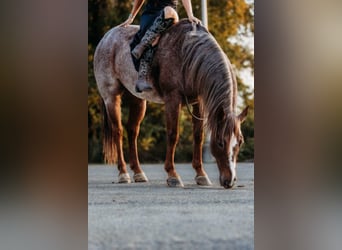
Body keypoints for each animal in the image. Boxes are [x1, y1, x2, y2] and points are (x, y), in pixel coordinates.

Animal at [93, 19, 248, 188]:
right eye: (220, 142)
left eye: (240, 142)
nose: (230, 181)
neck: (187, 54)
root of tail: (106, 38)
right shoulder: (172, 99)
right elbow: (173, 134)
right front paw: (172, 175)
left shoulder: (198, 102)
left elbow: (198, 136)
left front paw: (201, 174)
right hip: (111, 97)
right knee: (118, 131)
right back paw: (123, 173)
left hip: (138, 99)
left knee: (132, 131)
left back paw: (138, 173)